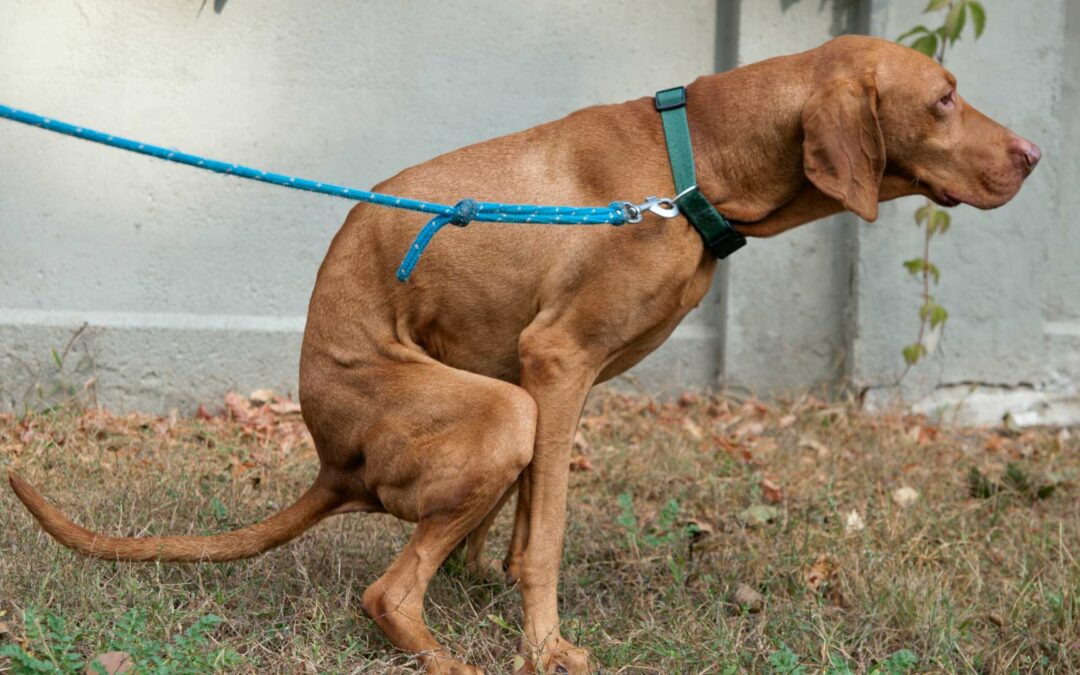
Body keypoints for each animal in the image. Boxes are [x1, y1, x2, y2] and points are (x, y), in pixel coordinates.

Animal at [8, 38, 1036, 673]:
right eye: (944, 99)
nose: (1031, 154)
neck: (692, 164)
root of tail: (332, 463)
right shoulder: (556, 363)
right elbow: (546, 540)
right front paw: (543, 648)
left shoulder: (555, 380)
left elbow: (531, 519)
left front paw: (514, 600)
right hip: (499, 405)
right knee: (388, 591)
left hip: (501, 397)